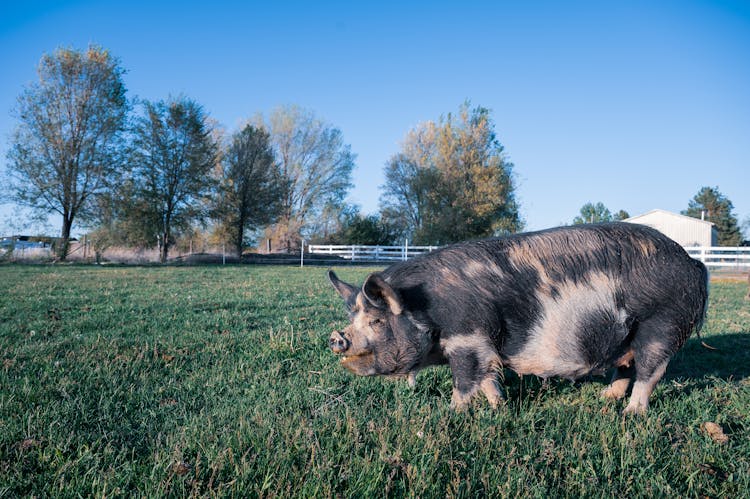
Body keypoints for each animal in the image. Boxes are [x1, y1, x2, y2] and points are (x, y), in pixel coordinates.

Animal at [328, 223, 712, 414]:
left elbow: (465, 380)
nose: (337, 338)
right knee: (626, 367)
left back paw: (631, 414)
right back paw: (605, 399)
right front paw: (499, 407)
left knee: (651, 371)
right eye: (354, 316)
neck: (426, 307)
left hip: (661, 325)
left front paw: (451, 413)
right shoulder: (483, 345)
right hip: (629, 335)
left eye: (377, 322)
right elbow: (487, 377)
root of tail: (692, 263)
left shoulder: (467, 337)